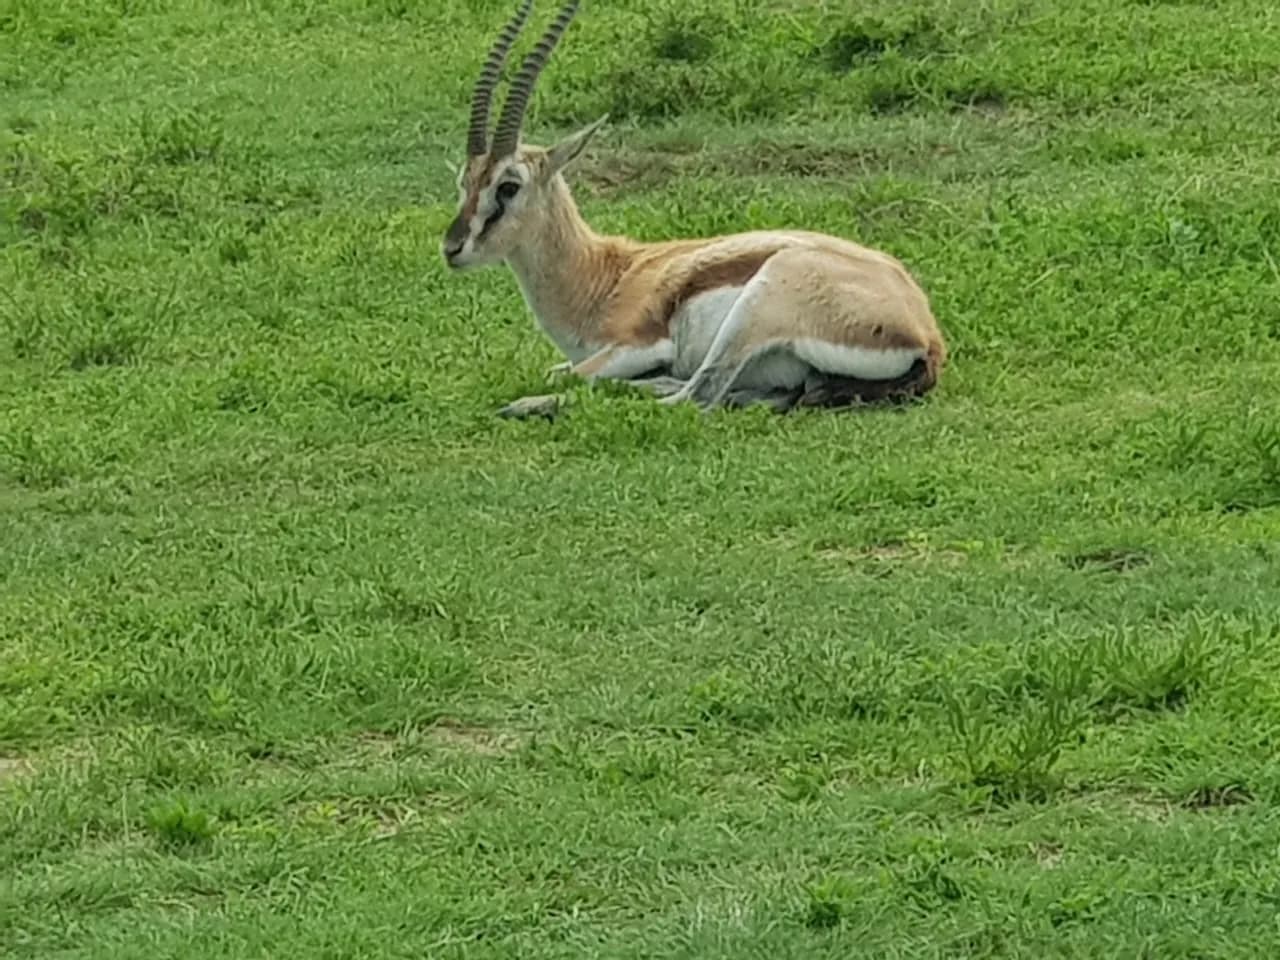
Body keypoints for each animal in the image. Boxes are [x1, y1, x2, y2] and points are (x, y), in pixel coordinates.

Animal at [442, 0, 947, 421]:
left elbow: (572, 375)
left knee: (694, 396)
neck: (604, 277)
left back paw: (528, 406)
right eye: (465, 181)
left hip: (757, 305)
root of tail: (927, 337)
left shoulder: (635, 345)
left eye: (508, 187)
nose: (452, 247)